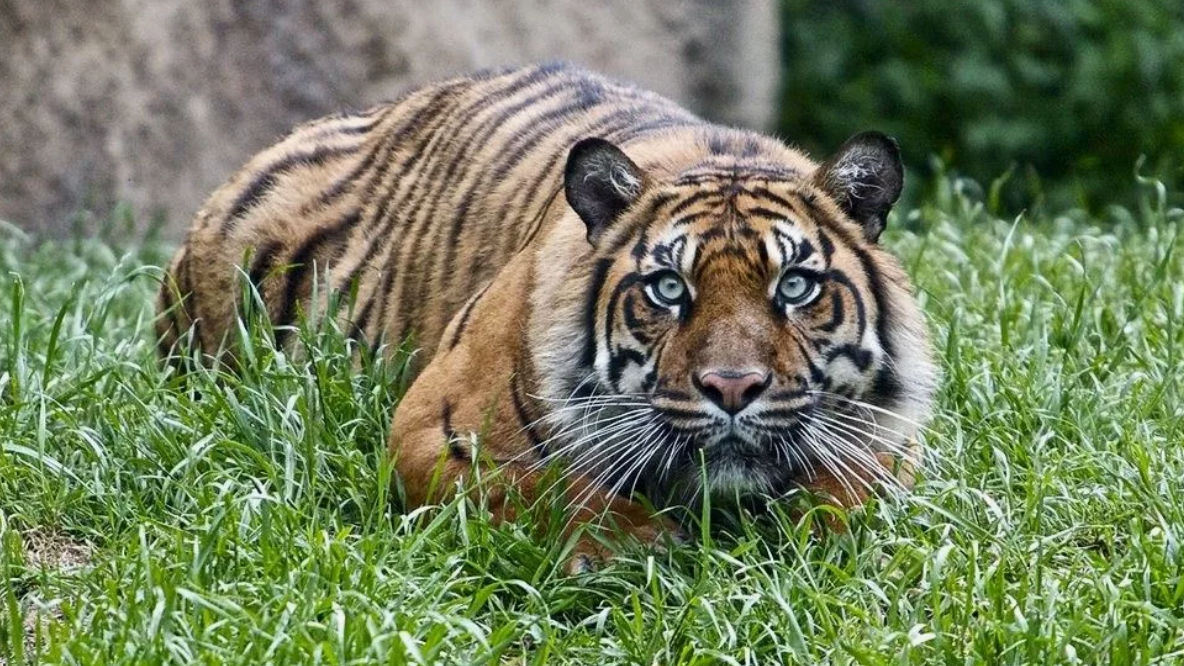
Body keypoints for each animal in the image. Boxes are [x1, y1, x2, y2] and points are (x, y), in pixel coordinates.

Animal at [157, 62, 937, 569]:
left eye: (796, 286)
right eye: (669, 288)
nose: (732, 388)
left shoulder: (894, 444)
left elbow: (852, 489)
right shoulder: (435, 429)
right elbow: (550, 490)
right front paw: (635, 548)